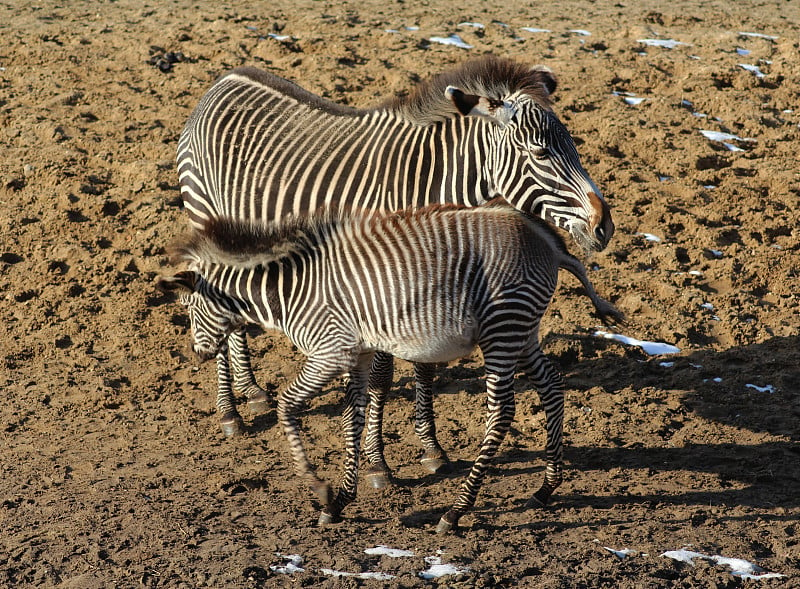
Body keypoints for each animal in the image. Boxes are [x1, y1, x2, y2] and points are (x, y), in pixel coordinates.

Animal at [156, 202, 620, 532]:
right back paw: (546, 487)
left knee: (502, 411)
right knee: (552, 385)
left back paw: (455, 512)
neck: (290, 292)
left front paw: (320, 489)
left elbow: (288, 405)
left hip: (502, 328)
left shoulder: (331, 351)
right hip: (522, 330)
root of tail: (546, 238)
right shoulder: (356, 354)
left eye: (189, 310)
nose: (197, 353)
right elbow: (352, 420)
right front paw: (341, 500)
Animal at [175, 55, 612, 448]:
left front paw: (431, 446)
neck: (435, 185)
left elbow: (426, 366)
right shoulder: (380, 286)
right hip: (203, 214)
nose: (603, 226)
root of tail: (227, 78)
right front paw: (377, 463)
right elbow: (382, 377)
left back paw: (250, 390)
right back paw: (230, 410)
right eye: (540, 153)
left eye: (574, 146)